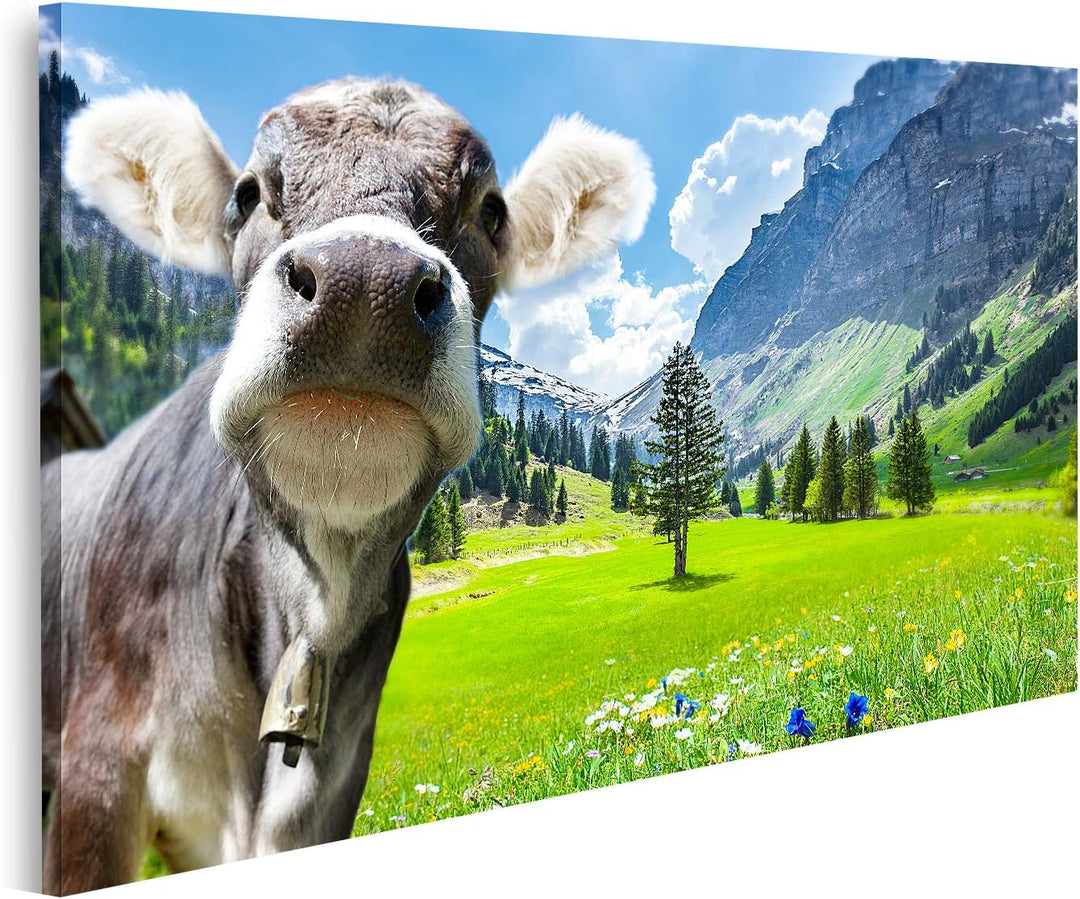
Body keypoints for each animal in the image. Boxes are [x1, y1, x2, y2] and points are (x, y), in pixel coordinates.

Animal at [42, 77, 654, 894]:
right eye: (246, 194)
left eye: (491, 211)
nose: (364, 284)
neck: (312, 614)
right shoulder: (98, 767)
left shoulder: (331, 792)